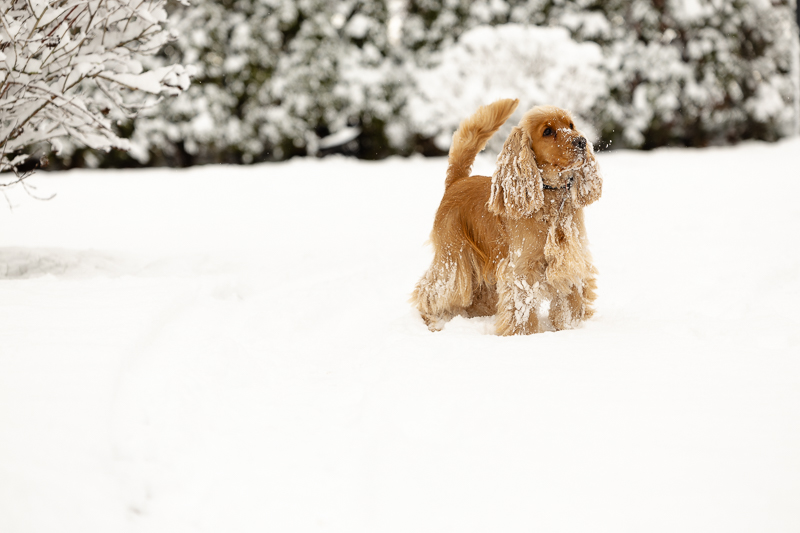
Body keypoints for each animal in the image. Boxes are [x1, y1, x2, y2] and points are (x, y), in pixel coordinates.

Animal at [412, 97, 600, 334]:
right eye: (547, 131)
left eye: (571, 125)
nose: (582, 141)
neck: (551, 199)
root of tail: (457, 181)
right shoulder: (521, 269)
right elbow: (522, 309)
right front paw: (525, 334)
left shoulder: (571, 257)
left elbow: (571, 300)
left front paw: (570, 327)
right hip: (453, 258)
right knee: (430, 290)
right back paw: (433, 321)